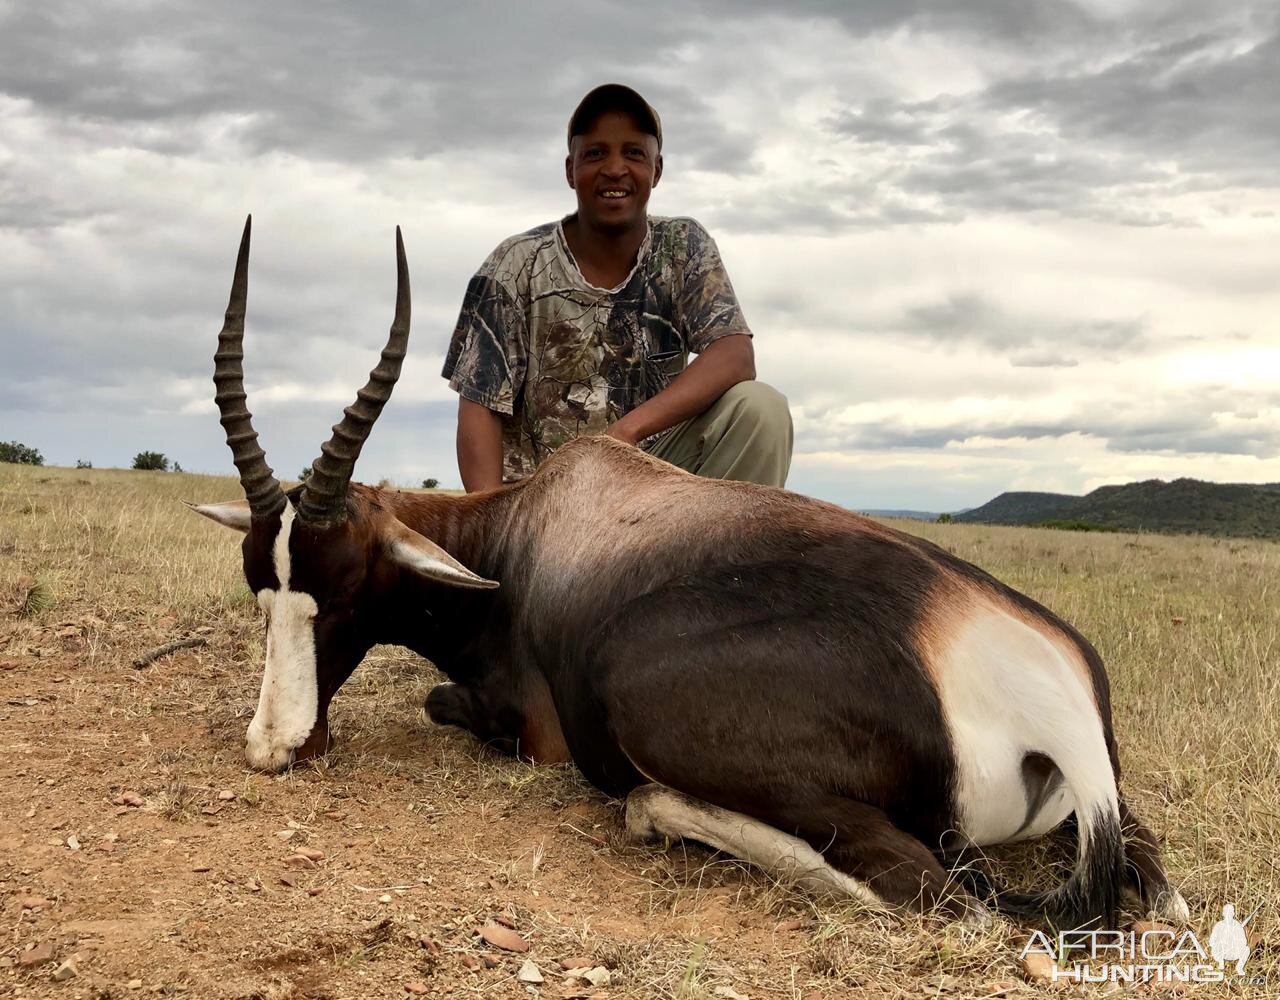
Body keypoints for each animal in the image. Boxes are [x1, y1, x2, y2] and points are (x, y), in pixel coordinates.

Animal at [192, 218, 1187, 927]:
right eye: (259, 585)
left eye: (342, 591)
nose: (275, 746)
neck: (527, 529)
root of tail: (1023, 671)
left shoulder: (538, 733)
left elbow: (448, 704)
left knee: (940, 893)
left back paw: (652, 805)